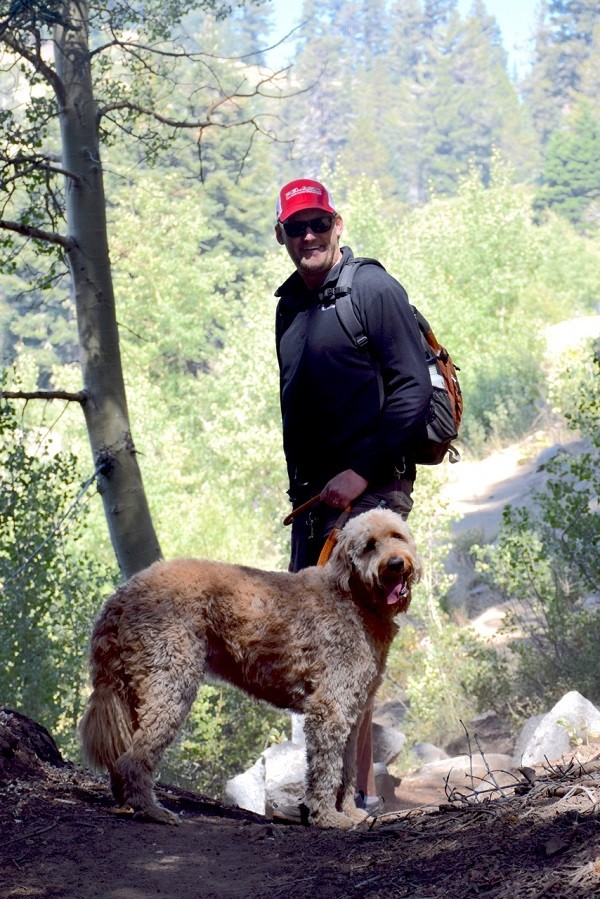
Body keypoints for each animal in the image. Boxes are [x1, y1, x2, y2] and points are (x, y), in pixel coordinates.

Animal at [79, 506, 420, 828]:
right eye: (369, 546)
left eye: (397, 536)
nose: (395, 564)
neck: (354, 597)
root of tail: (120, 596)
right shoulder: (330, 709)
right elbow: (327, 770)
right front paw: (327, 818)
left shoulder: (353, 710)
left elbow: (347, 769)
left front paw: (349, 811)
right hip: (170, 684)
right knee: (134, 758)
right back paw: (151, 810)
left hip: (137, 690)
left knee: (122, 756)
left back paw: (128, 802)